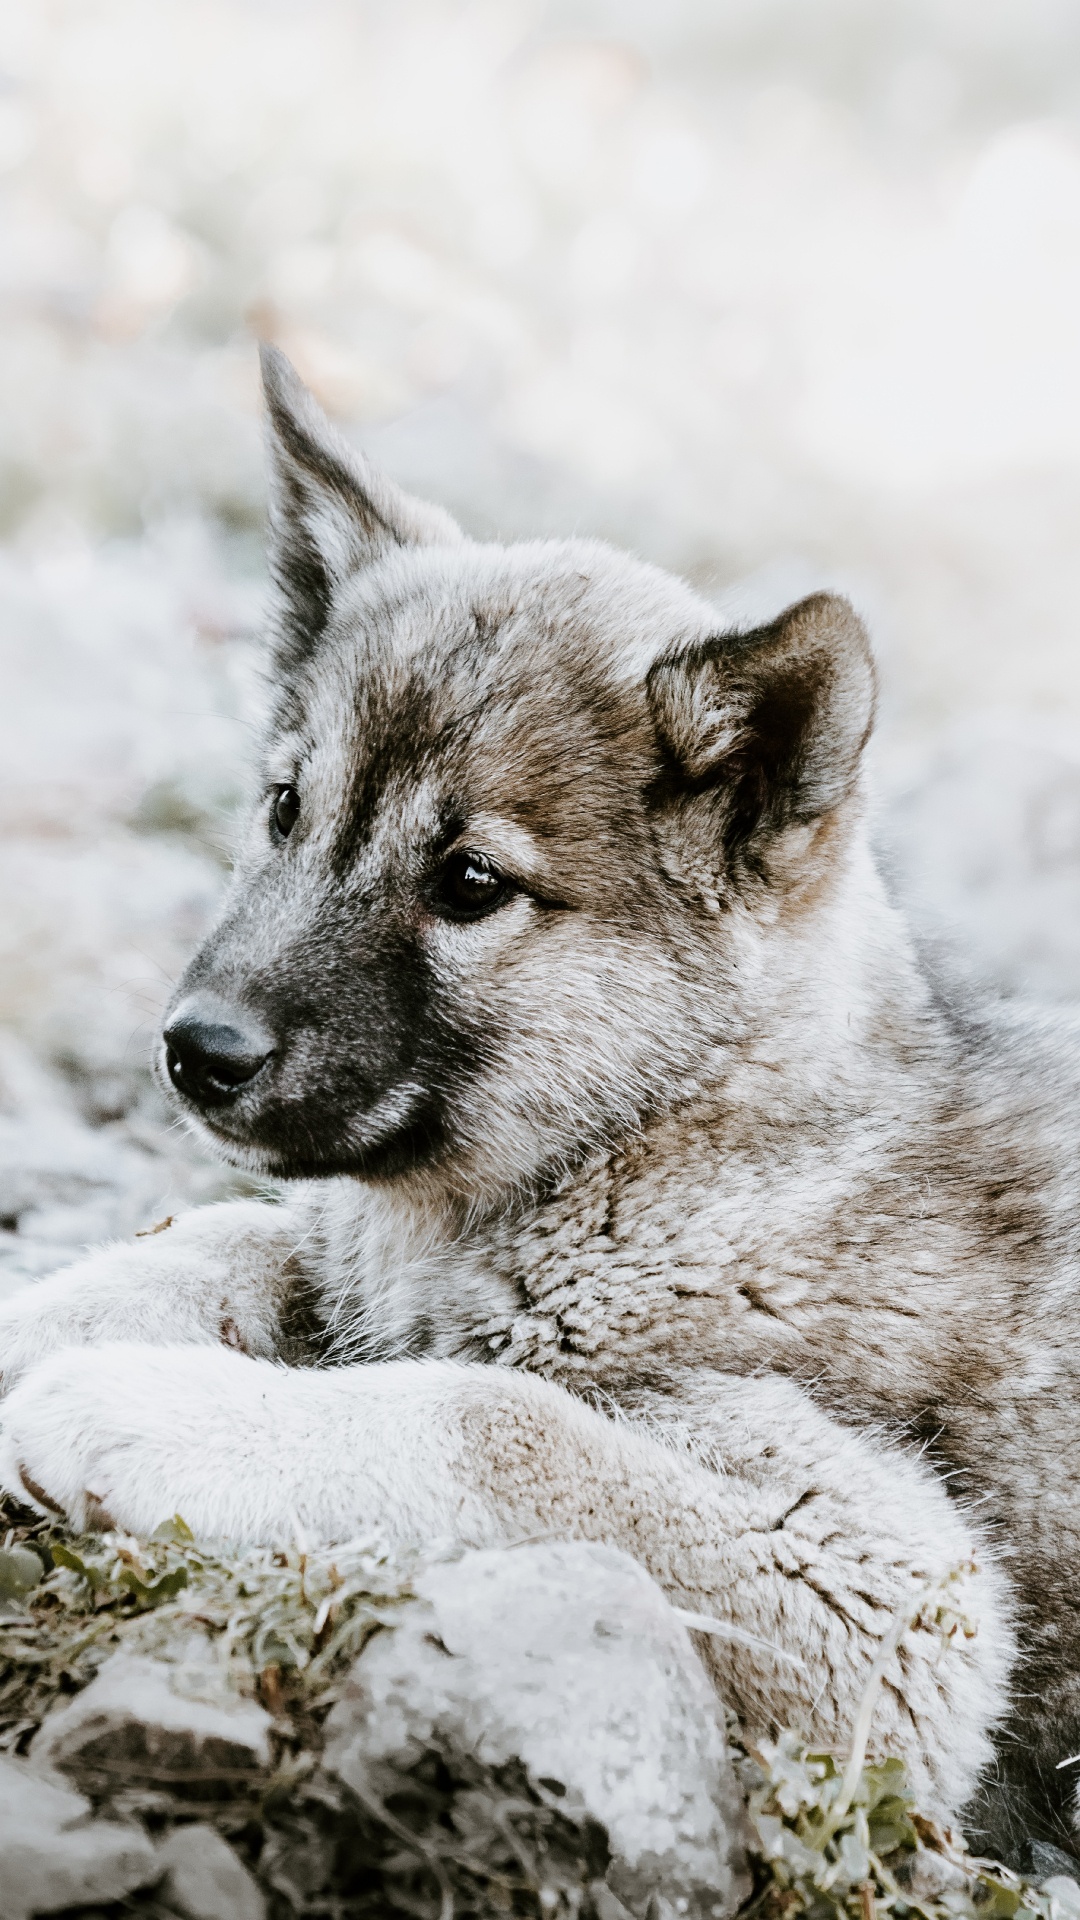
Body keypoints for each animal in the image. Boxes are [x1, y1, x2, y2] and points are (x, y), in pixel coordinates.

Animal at [4, 349, 1068, 1858]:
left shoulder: (888, 1594)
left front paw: (135, 1407)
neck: (660, 1147)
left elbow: (491, 1416)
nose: (196, 1051)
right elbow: (222, 1236)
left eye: (470, 884)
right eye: (283, 810)